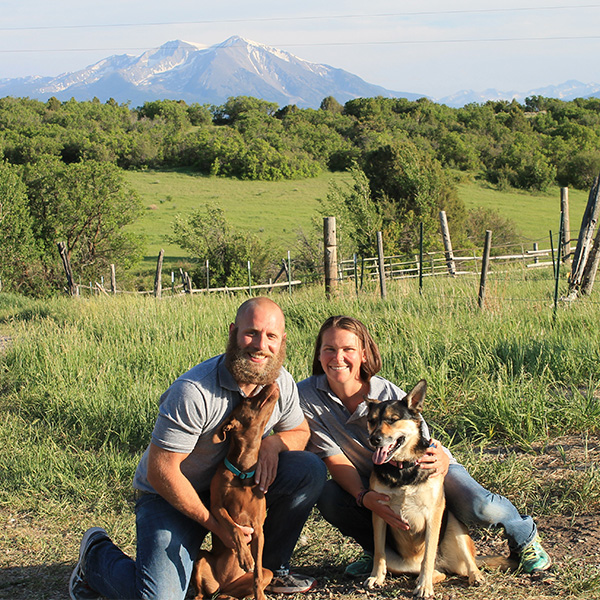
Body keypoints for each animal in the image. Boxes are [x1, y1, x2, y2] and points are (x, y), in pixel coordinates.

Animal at [191, 384, 280, 600]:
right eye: (248, 400)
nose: (271, 384)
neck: (243, 471)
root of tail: (223, 584)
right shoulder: (216, 507)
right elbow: (233, 528)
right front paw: (245, 558)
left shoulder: (258, 529)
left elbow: (257, 574)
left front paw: (260, 595)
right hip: (201, 557)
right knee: (200, 594)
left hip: (265, 574)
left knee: (233, 592)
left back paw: (230, 596)